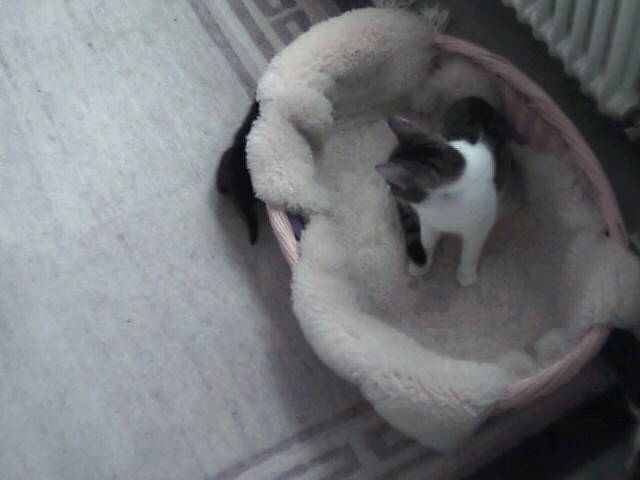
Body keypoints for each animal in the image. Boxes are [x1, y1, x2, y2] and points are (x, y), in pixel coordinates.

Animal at [376, 96, 520, 286]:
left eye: (393, 184)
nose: (388, 190)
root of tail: (477, 99)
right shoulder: (428, 222)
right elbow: (426, 241)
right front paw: (423, 263)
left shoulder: (479, 226)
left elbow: (471, 251)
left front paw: (466, 274)